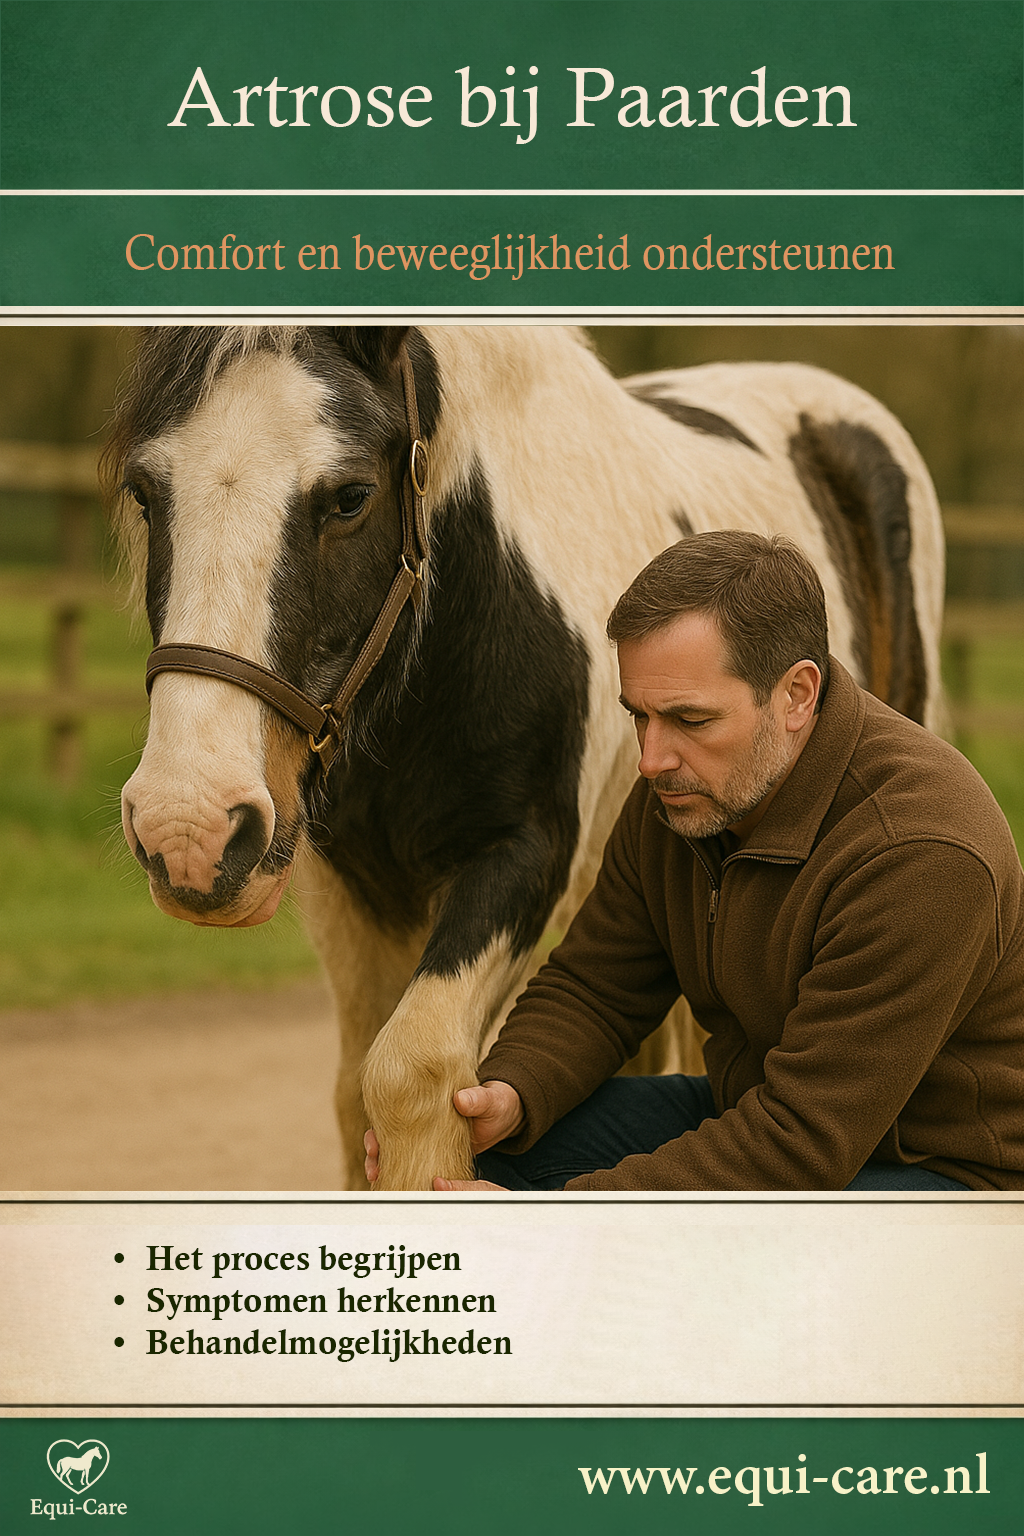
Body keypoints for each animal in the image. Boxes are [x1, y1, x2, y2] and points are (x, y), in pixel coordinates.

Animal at [105, 325, 945, 1190]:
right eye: (144, 492)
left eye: (349, 497)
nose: (188, 831)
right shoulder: (346, 889)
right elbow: (354, 1092)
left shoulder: (527, 858)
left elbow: (409, 1073)